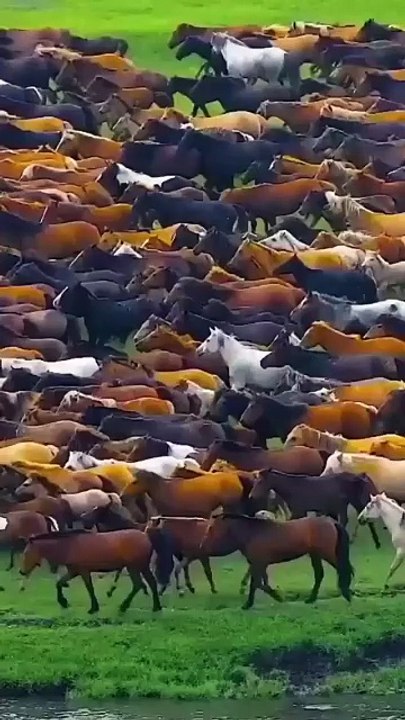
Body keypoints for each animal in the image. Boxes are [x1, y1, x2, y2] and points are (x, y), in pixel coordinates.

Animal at [200, 513, 353, 608]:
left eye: (211, 529)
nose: (202, 546)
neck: (252, 533)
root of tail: (331, 521)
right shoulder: (260, 564)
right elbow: (262, 583)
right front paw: (277, 597)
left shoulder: (258, 563)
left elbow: (255, 584)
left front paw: (249, 604)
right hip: (315, 555)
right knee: (320, 574)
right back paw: (311, 599)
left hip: (327, 554)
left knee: (342, 569)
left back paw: (347, 594)